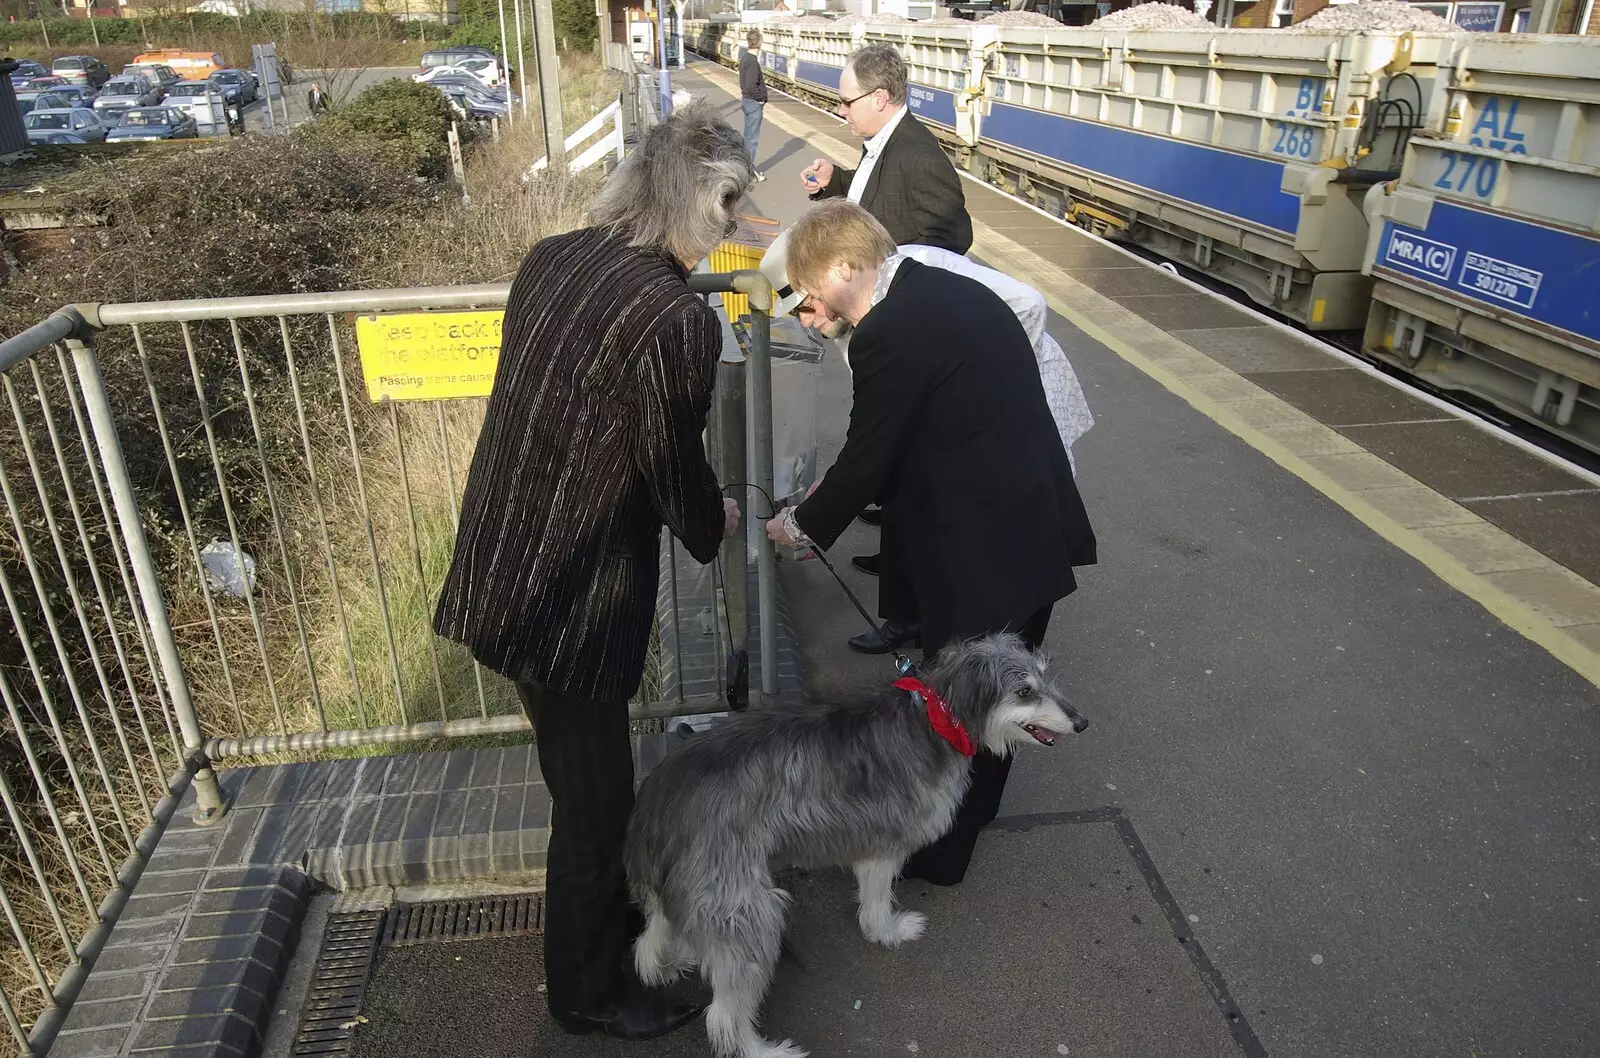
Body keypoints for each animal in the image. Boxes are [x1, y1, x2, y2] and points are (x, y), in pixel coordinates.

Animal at [624, 630, 1088, 1049]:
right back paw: (765, 1050)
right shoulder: (884, 842)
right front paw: (889, 932)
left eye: (1044, 676)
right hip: (744, 907)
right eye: (1024, 691)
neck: (933, 719)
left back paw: (674, 960)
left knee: (648, 945)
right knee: (721, 1016)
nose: (1082, 722)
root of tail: (655, 801)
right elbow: (877, 900)